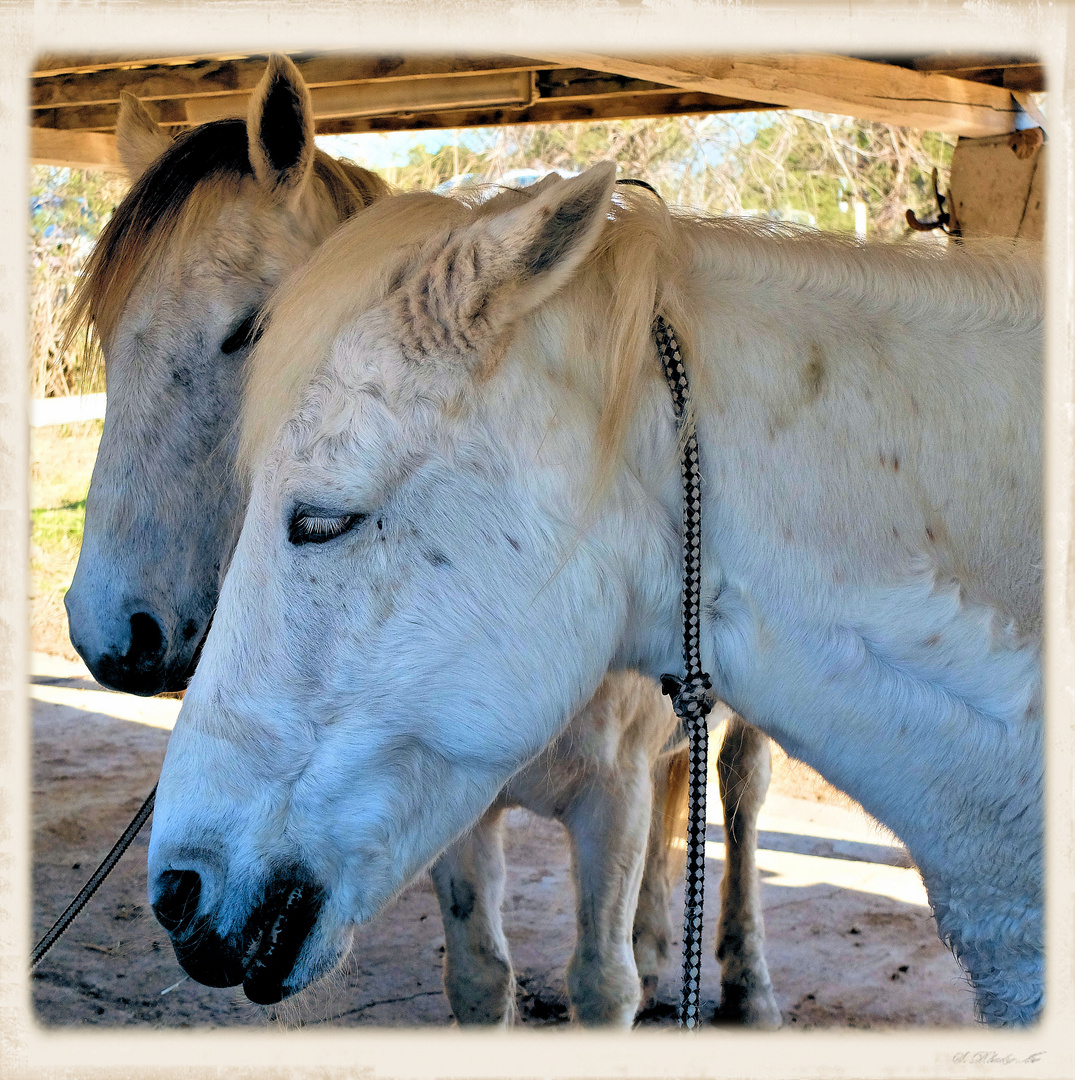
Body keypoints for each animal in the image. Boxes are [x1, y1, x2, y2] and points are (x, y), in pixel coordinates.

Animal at [65, 59, 773, 1028]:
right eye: (107, 336)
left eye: (254, 330)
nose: (111, 634)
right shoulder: (436, 801)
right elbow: (479, 975)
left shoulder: (614, 802)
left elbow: (602, 980)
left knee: (735, 800)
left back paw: (745, 977)